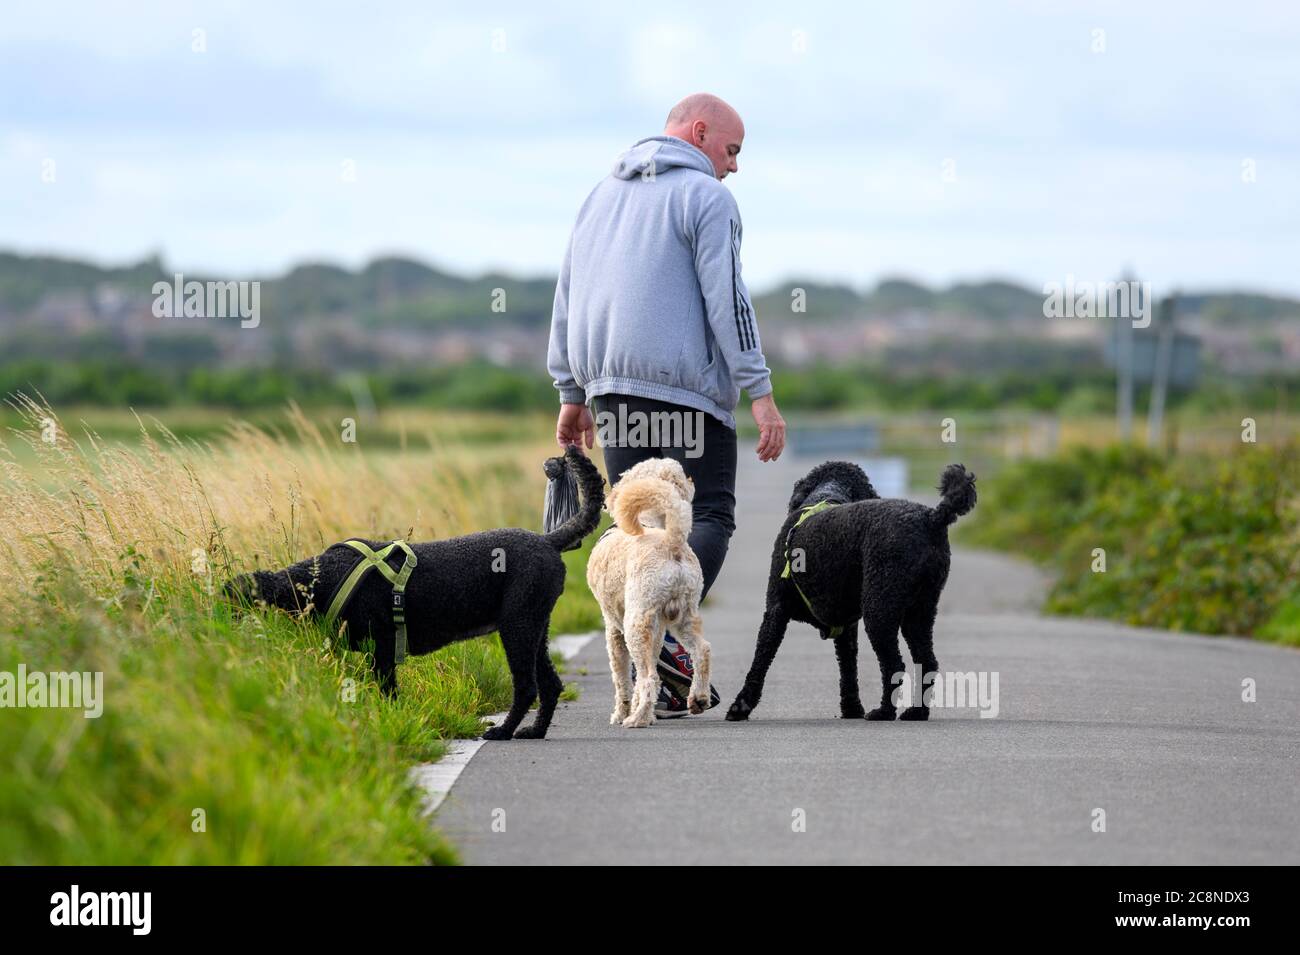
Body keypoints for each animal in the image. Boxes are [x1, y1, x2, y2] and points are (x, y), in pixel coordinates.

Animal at [223, 444, 603, 743]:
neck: (319, 577)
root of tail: (548, 541)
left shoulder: (382, 648)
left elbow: (387, 691)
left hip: (517, 626)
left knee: (526, 687)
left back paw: (503, 731)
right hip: (536, 628)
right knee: (551, 684)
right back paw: (534, 731)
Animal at [587, 459, 712, 727]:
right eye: (681, 476)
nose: (692, 479)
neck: (649, 522)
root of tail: (672, 542)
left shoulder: (614, 628)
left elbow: (622, 678)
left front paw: (622, 712)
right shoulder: (657, 629)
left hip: (635, 621)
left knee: (649, 678)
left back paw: (638, 718)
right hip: (684, 616)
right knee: (702, 650)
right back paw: (698, 698)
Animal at [728, 462, 972, 722]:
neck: (827, 494)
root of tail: (932, 518)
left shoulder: (775, 611)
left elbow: (760, 660)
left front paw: (741, 706)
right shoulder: (846, 626)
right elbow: (848, 667)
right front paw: (852, 708)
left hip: (879, 610)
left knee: (894, 664)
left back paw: (884, 712)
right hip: (919, 613)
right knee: (926, 662)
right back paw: (917, 712)